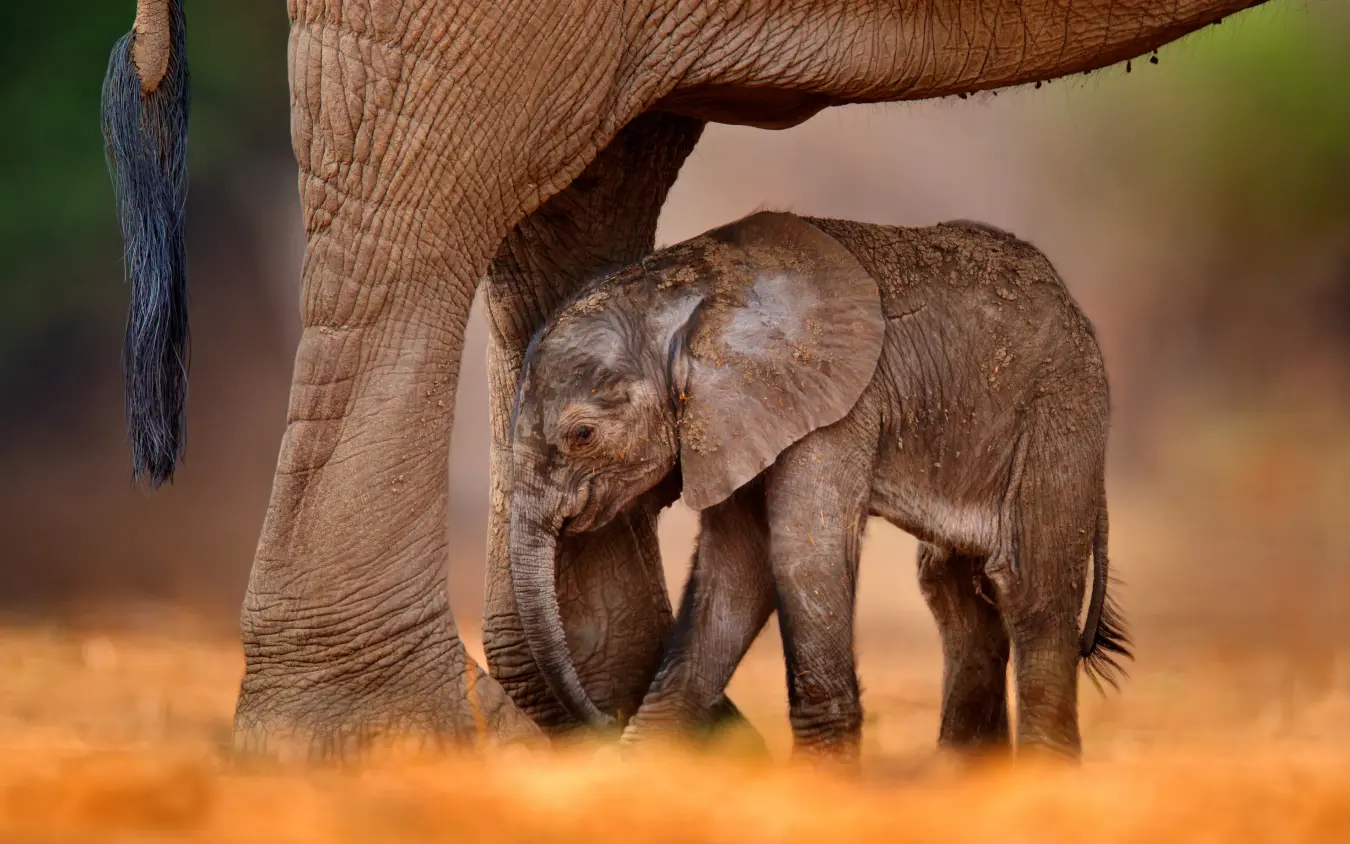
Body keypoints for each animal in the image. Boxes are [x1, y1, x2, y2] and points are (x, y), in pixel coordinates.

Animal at [506, 211, 1130, 761]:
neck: (688, 290)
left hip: (1059, 410)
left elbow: (801, 555)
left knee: (1030, 583)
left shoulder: (834, 405)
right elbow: (735, 571)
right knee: (951, 588)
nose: (599, 720)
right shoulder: (733, 420)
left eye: (582, 434)